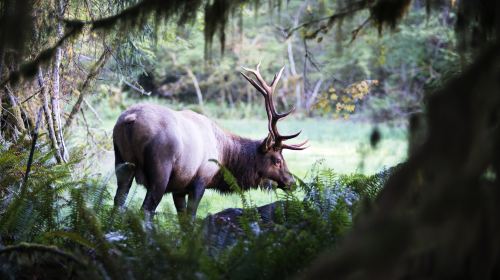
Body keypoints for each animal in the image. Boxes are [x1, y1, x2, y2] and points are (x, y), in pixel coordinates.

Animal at [113, 62, 306, 218]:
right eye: (277, 160)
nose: (292, 182)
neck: (224, 155)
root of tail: (130, 119)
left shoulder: (179, 188)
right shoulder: (200, 180)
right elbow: (191, 217)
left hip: (122, 163)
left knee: (118, 202)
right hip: (160, 170)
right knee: (146, 210)